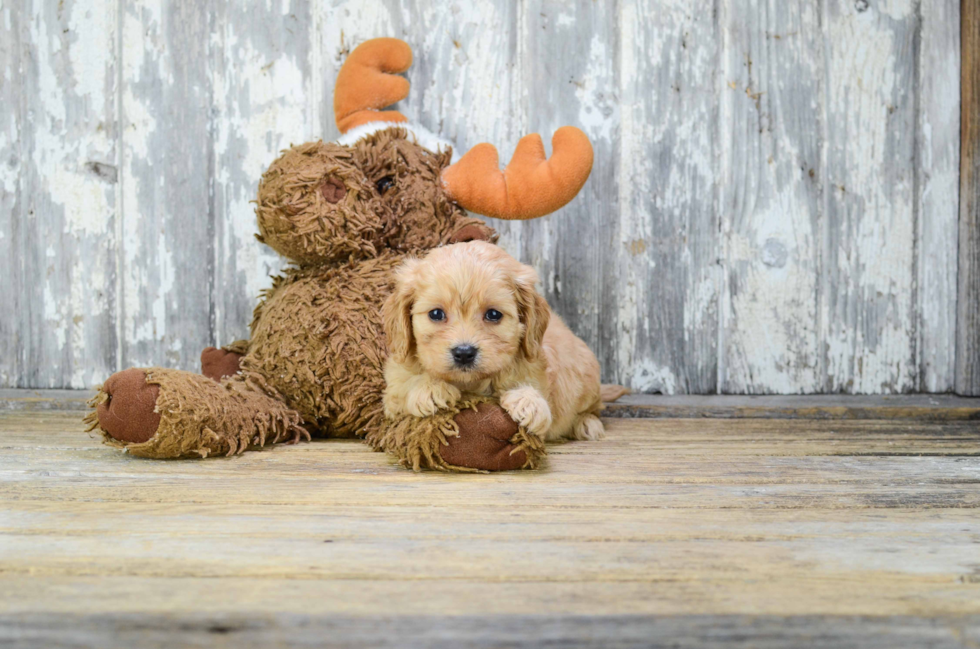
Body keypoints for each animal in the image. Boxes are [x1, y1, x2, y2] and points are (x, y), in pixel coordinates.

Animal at [382, 240, 604, 442]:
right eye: (436, 314)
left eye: (493, 314)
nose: (464, 353)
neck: (471, 384)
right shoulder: (392, 392)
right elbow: (402, 388)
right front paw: (429, 388)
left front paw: (528, 401)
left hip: (589, 380)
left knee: (593, 408)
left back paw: (588, 423)